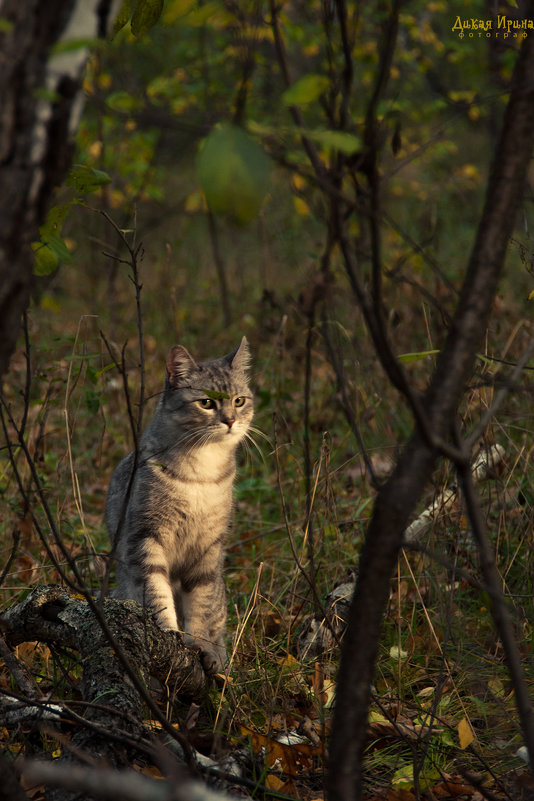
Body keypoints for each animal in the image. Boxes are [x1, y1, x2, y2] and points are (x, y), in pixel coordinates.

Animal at [107, 334, 255, 672]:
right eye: (207, 403)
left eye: (239, 401)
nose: (230, 420)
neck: (201, 474)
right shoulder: (145, 536)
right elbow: (157, 593)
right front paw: (168, 633)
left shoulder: (208, 548)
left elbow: (202, 606)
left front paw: (201, 647)